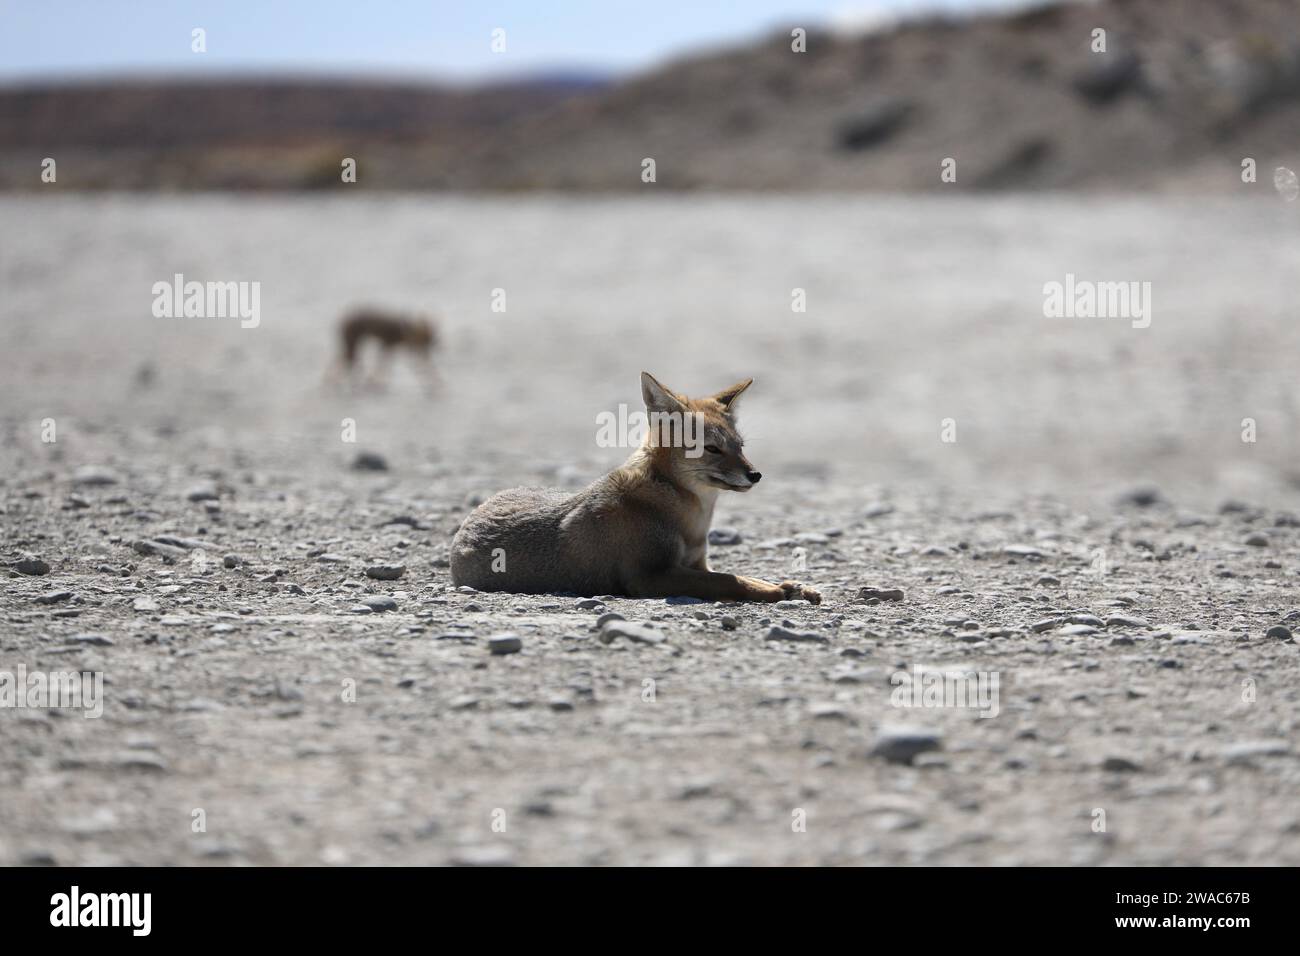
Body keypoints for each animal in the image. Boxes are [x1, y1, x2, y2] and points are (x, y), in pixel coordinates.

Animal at [450, 372, 821, 604]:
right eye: (713, 449)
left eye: (740, 446)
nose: (755, 475)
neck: (691, 518)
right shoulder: (648, 576)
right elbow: (728, 579)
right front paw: (780, 592)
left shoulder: (697, 564)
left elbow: (736, 576)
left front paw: (790, 587)